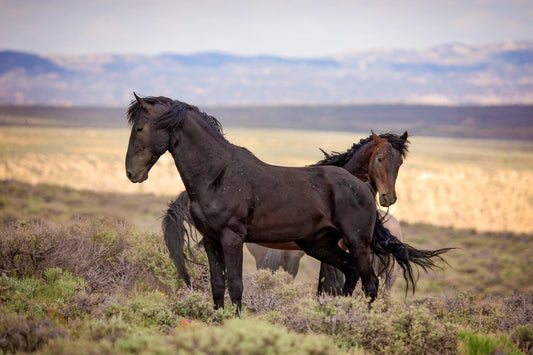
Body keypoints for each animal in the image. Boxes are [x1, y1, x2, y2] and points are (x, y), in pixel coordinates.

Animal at [127, 94, 450, 314]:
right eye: (380, 159)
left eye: (140, 128)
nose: (132, 172)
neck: (219, 174)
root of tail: (362, 189)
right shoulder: (211, 240)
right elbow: (218, 286)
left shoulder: (232, 239)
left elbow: (236, 286)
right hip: (321, 245)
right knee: (351, 275)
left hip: (357, 244)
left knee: (369, 285)